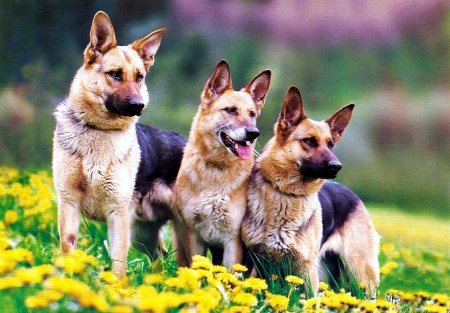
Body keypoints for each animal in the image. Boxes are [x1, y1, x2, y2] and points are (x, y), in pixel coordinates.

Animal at [52, 11, 186, 276]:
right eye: (115, 74)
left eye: (139, 77)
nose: (138, 105)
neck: (99, 131)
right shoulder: (69, 206)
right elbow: (68, 249)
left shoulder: (118, 214)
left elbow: (118, 264)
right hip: (142, 236)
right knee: (162, 258)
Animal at [174, 60, 268, 266]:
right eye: (231, 110)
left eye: (252, 114)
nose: (253, 133)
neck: (216, 169)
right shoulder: (194, 236)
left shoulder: (232, 241)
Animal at [241, 85, 378, 292]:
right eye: (309, 141)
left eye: (330, 144)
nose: (337, 166)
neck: (286, 194)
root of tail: (352, 194)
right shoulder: (252, 263)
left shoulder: (307, 271)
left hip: (360, 274)